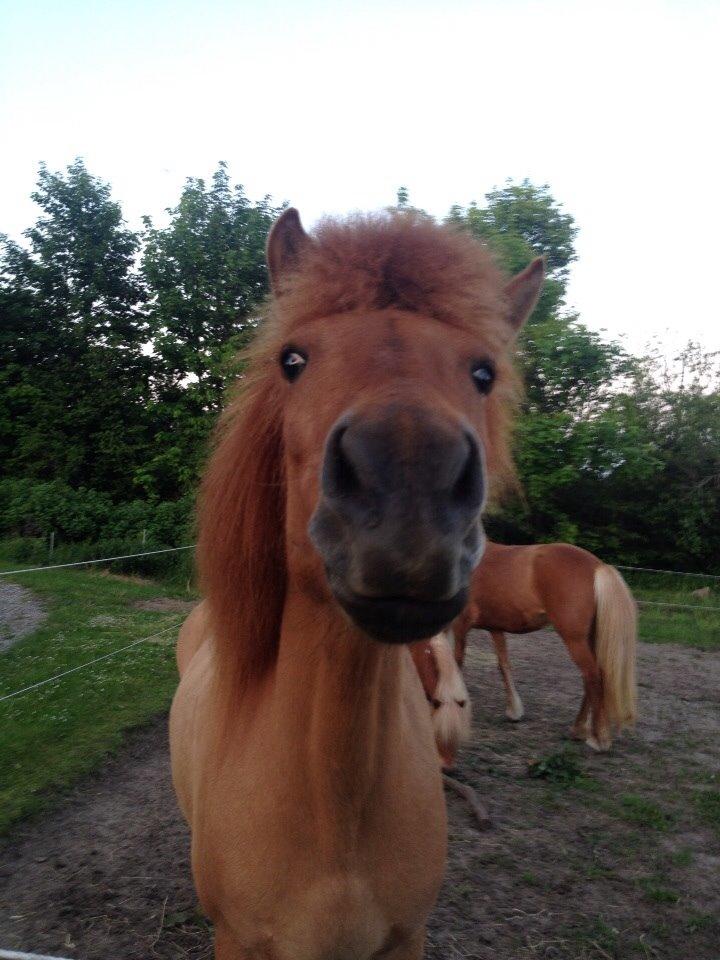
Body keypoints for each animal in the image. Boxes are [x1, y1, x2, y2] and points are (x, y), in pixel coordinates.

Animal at [169, 206, 544, 956]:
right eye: (292, 360)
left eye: (484, 373)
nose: (408, 487)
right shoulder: (237, 939)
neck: (333, 818)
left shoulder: (406, 936)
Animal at [452, 540, 640, 752]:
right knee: (591, 679)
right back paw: (579, 730)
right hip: (589, 639)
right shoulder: (495, 628)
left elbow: (455, 664)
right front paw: (514, 711)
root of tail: (598, 566)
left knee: (593, 677)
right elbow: (503, 665)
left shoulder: (459, 626)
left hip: (575, 640)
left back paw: (599, 739)